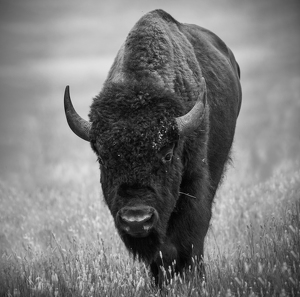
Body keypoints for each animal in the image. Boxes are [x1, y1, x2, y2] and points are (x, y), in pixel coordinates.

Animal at [63, 8, 241, 284]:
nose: (137, 220)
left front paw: (193, 279)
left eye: (167, 154)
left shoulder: (195, 180)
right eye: (103, 158)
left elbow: (190, 236)